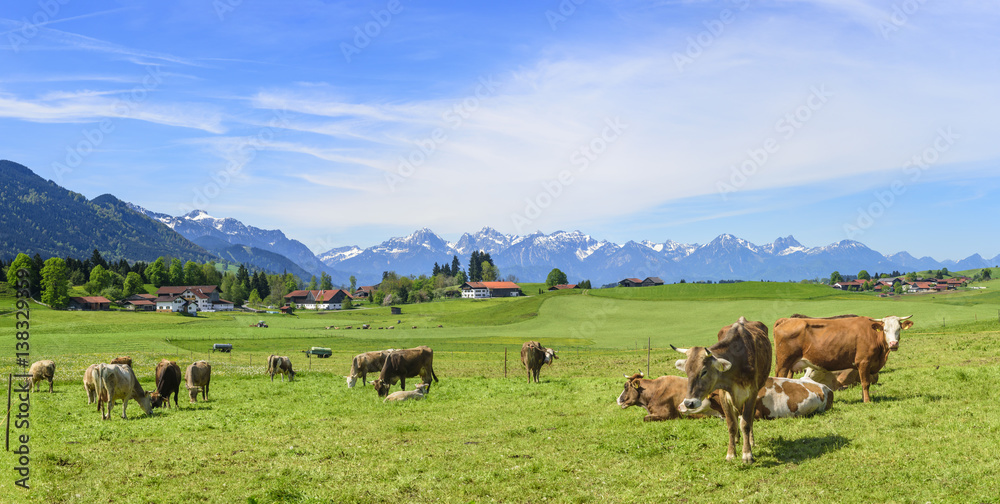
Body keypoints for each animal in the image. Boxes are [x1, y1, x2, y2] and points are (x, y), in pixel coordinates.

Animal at [672, 316, 772, 462]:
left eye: (704, 371)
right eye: (686, 371)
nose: (689, 403)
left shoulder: (751, 394)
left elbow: (746, 423)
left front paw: (747, 454)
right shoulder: (724, 395)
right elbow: (731, 424)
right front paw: (731, 453)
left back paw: (751, 441)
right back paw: (736, 439)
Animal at [772, 314, 916, 404]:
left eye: (898, 329)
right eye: (885, 330)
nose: (893, 344)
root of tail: (786, 320)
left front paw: (863, 398)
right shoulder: (863, 362)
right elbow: (865, 383)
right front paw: (867, 401)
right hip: (784, 363)